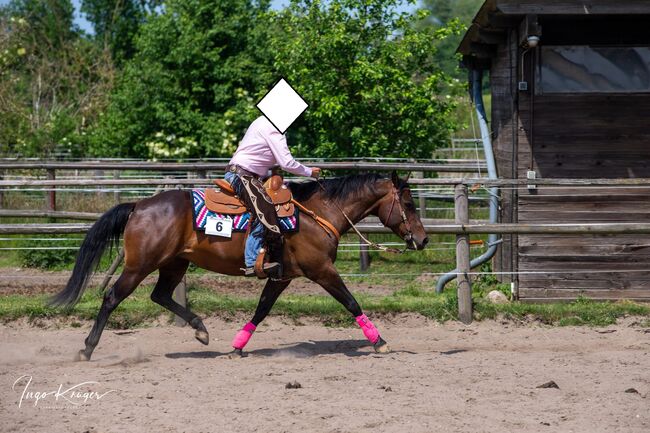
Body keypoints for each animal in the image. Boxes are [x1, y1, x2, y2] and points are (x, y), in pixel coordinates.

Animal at [51, 171, 429, 361]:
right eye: (409, 204)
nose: (423, 240)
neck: (320, 213)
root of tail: (139, 206)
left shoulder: (282, 277)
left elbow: (261, 309)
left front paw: (237, 345)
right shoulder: (321, 271)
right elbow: (351, 302)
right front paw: (379, 341)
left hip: (175, 264)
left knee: (160, 296)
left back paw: (201, 330)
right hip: (139, 266)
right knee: (112, 297)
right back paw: (87, 348)